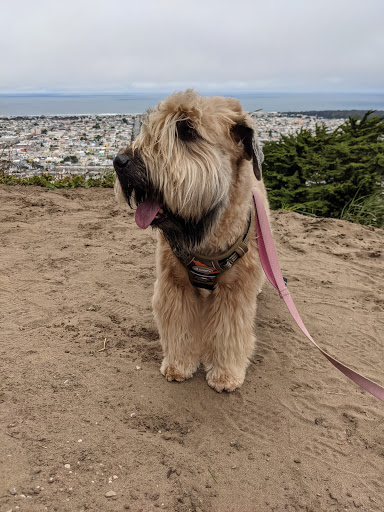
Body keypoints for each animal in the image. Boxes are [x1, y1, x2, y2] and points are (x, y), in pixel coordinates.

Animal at [114, 90, 270, 392]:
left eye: (186, 130)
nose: (119, 162)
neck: (206, 236)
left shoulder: (234, 293)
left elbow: (229, 332)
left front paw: (225, 374)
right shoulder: (175, 286)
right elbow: (179, 327)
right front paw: (179, 364)